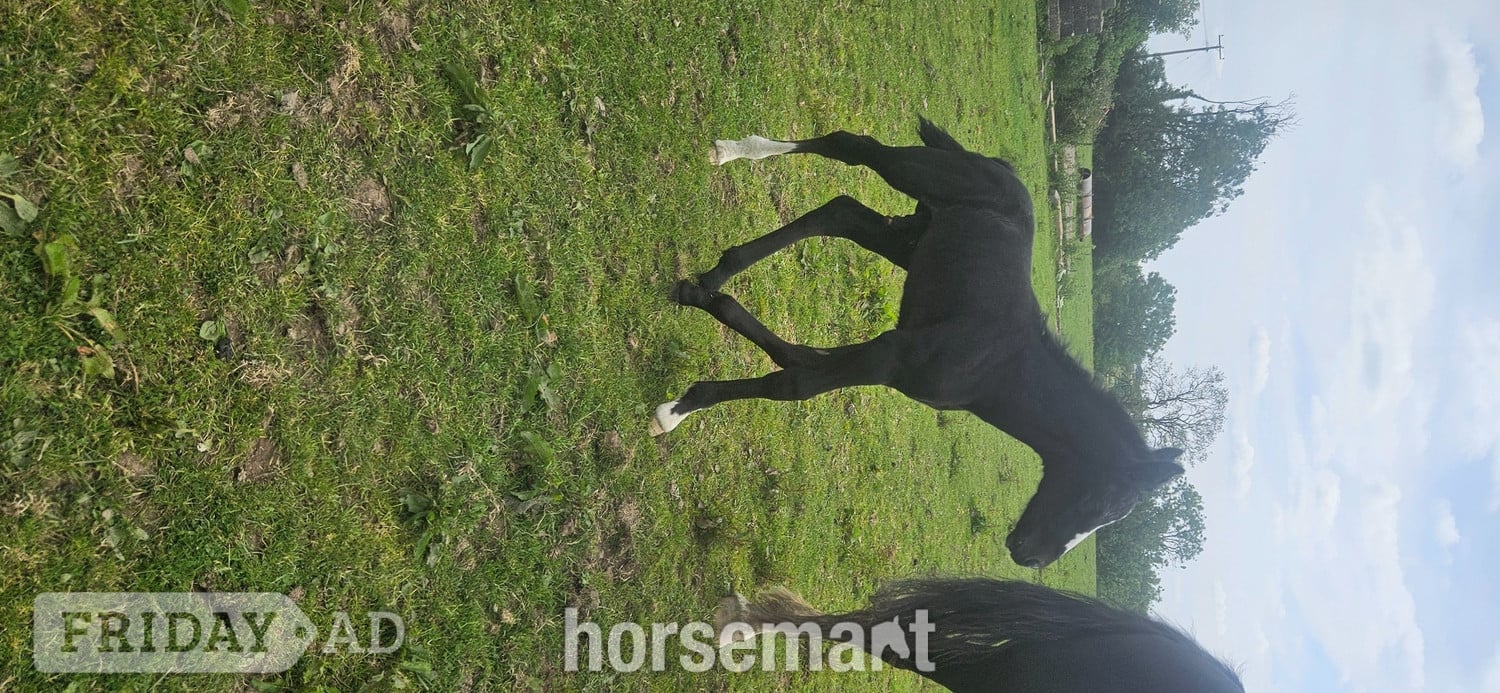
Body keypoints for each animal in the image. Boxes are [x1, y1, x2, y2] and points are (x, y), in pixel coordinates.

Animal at [649, 118, 1184, 568]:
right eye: (1104, 504)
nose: (1031, 558)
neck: (999, 365)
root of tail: (1000, 167)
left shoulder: (889, 353)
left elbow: (791, 357)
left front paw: (704, 298)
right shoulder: (891, 357)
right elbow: (794, 384)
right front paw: (674, 412)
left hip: (909, 239)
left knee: (842, 212)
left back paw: (719, 265)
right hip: (917, 177)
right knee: (853, 148)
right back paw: (732, 152)